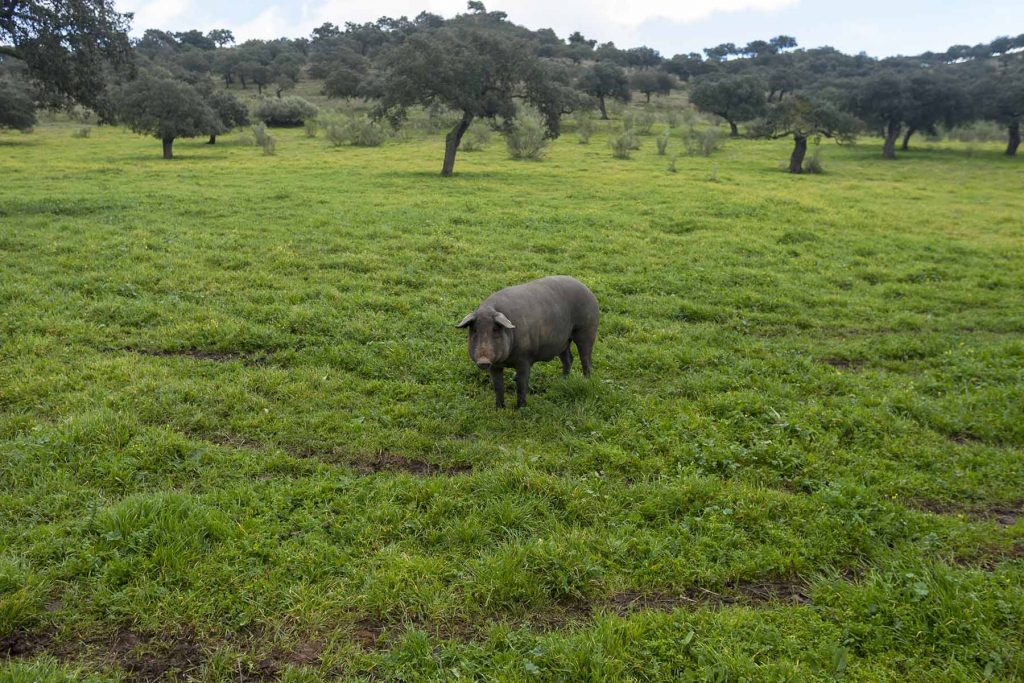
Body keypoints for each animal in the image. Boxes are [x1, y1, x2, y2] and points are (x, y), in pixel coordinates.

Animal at [456, 276, 599, 408]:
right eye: (474, 331)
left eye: (495, 330)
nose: (483, 360)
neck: (506, 361)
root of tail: (588, 290)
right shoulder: (494, 365)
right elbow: (498, 386)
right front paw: (499, 408)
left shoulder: (525, 358)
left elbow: (521, 384)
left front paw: (520, 409)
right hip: (563, 341)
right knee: (569, 358)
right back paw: (563, 381)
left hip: (586, 331)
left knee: (586, 359)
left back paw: (586, 381)